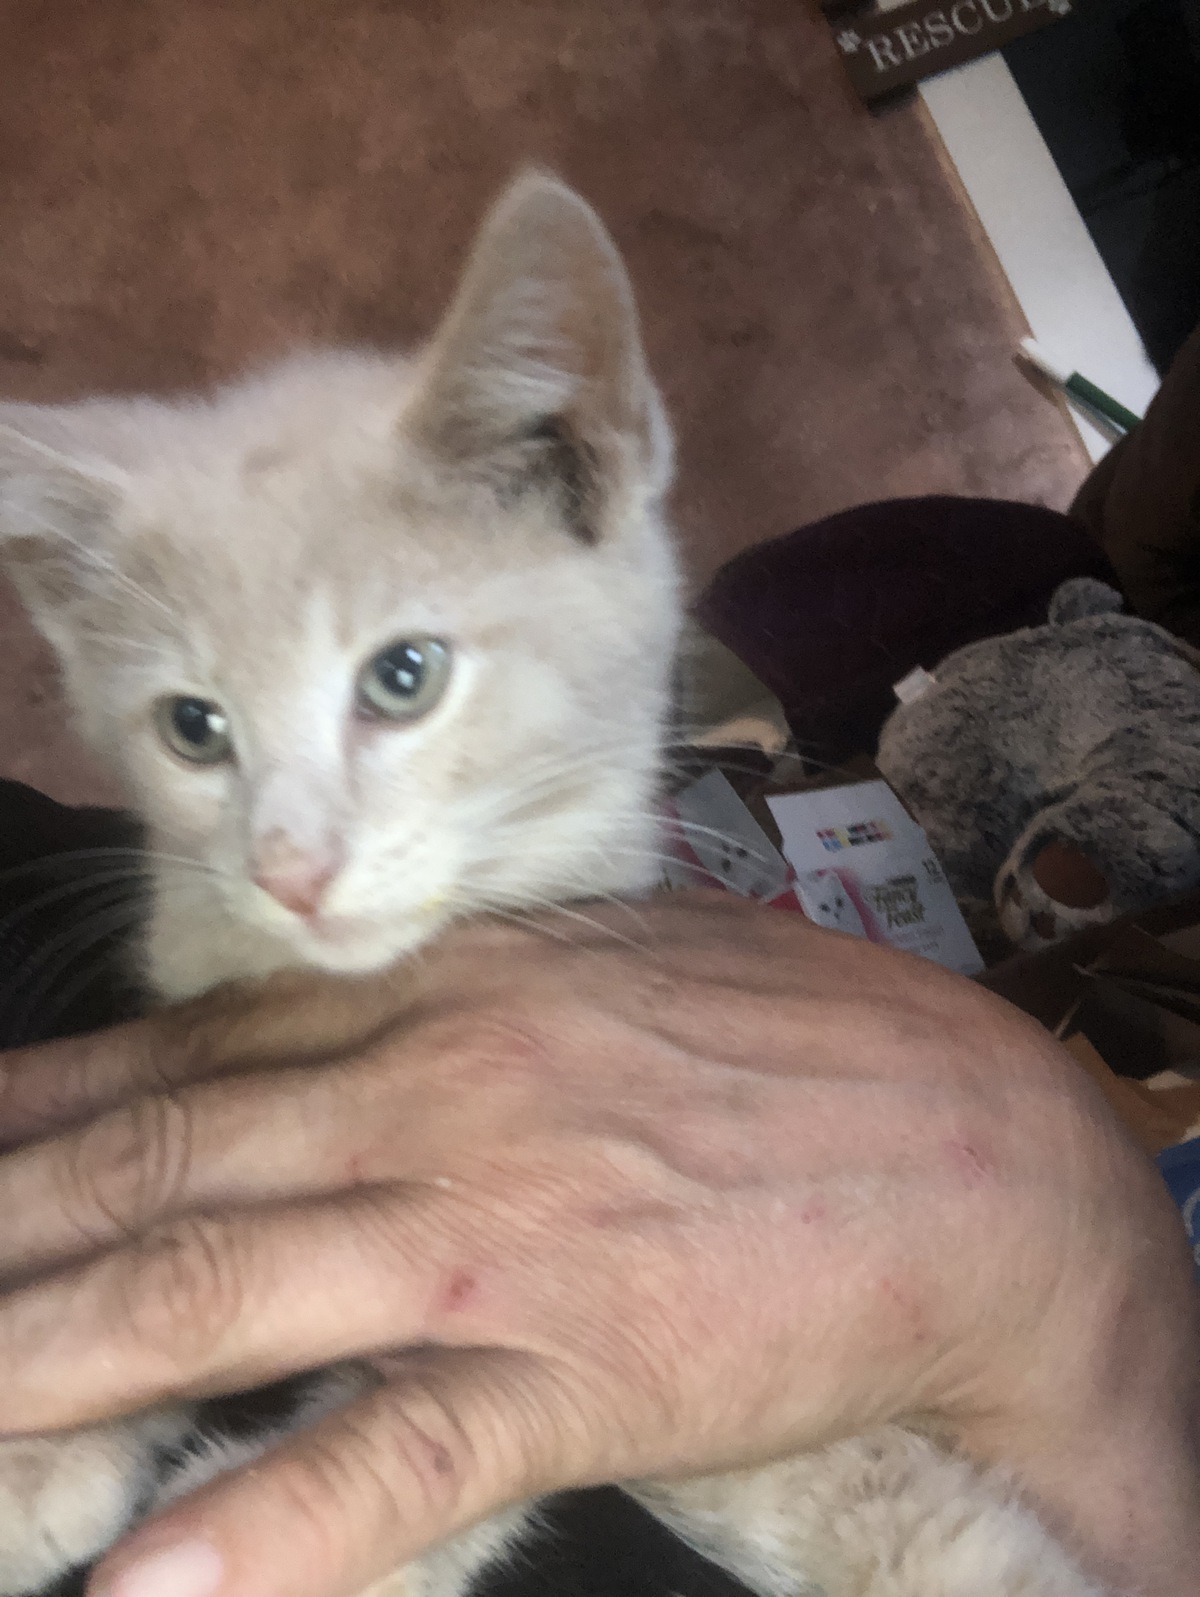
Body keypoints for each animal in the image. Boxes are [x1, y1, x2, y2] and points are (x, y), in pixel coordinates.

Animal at [0, 172, 1107, 1597]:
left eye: (403, 677)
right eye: (194, 728)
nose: (290, 871)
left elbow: (445, 1421)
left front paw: (304, 1544)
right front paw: (48, 1453)